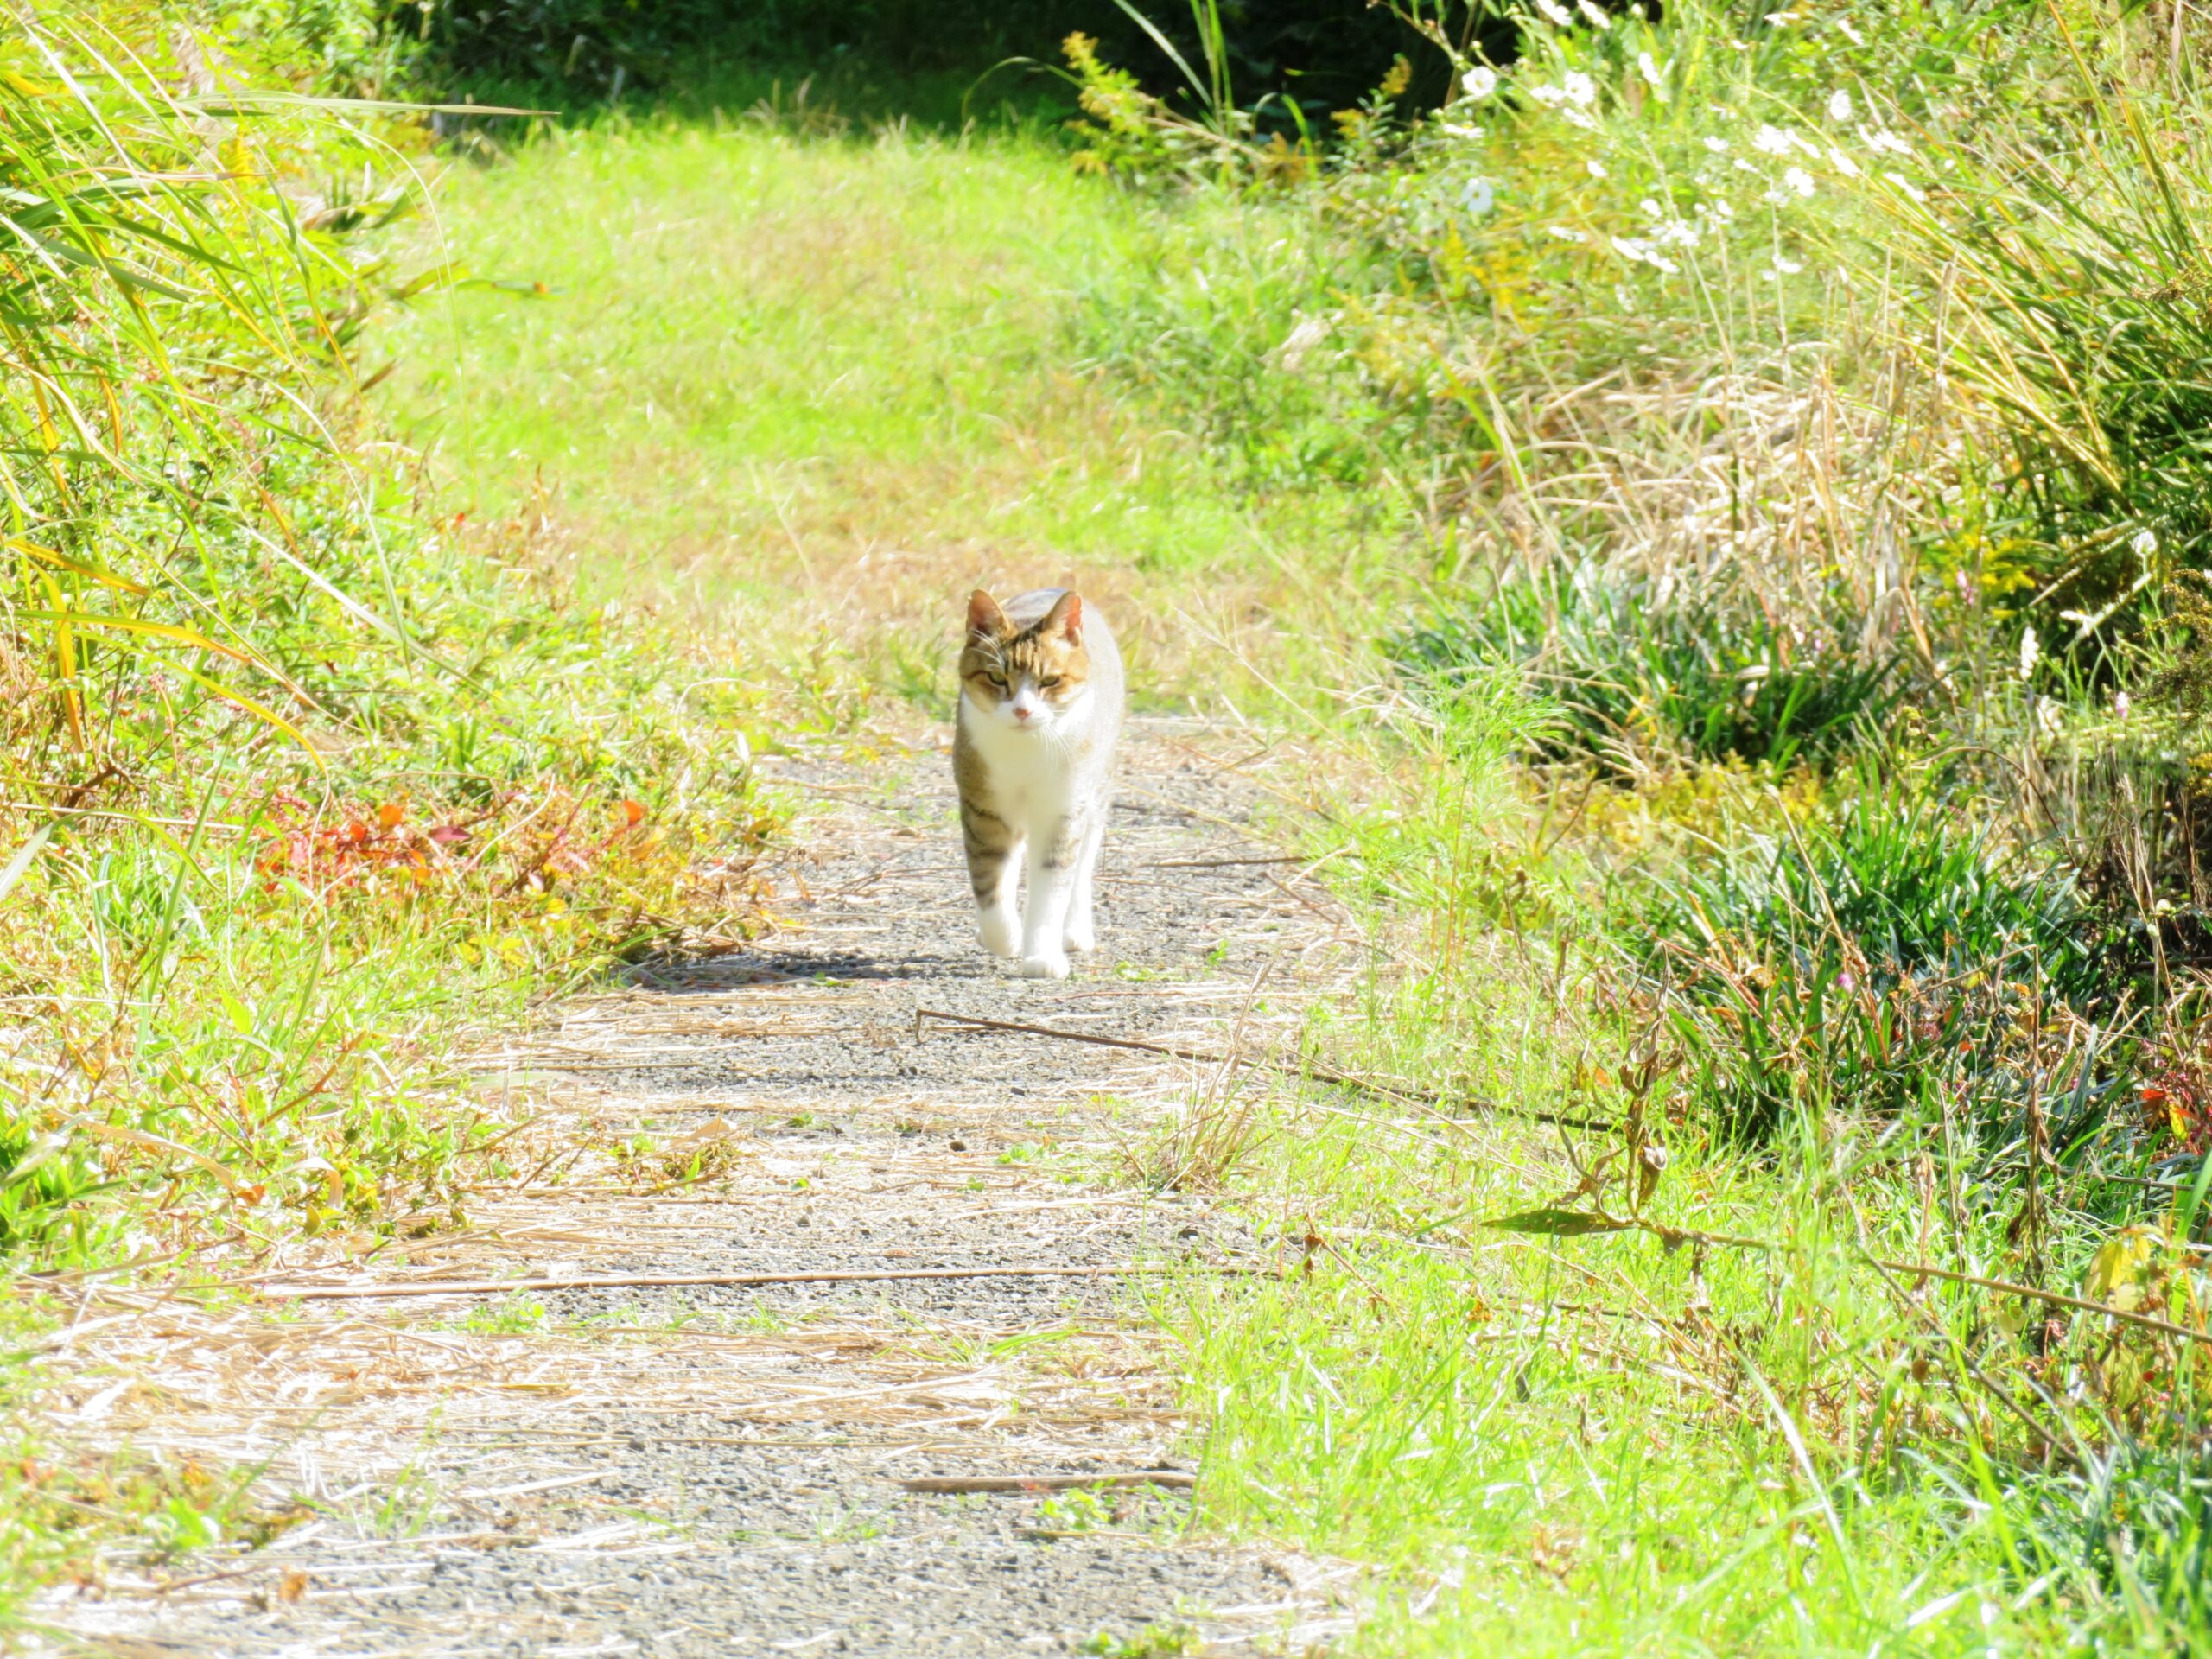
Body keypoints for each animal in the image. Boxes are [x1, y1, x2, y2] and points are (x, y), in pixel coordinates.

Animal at [950, 588, 1123, 982]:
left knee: (1082, 866)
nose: (1022, 711)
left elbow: (1052, 889)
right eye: (997, 678)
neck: (1027, 748)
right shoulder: (984, 807)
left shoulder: (1062, 812)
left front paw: (1042, 955)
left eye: (1049, 681)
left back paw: (1074, 931)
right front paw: (1005, 937)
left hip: (1096, 793)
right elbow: (989, 879)